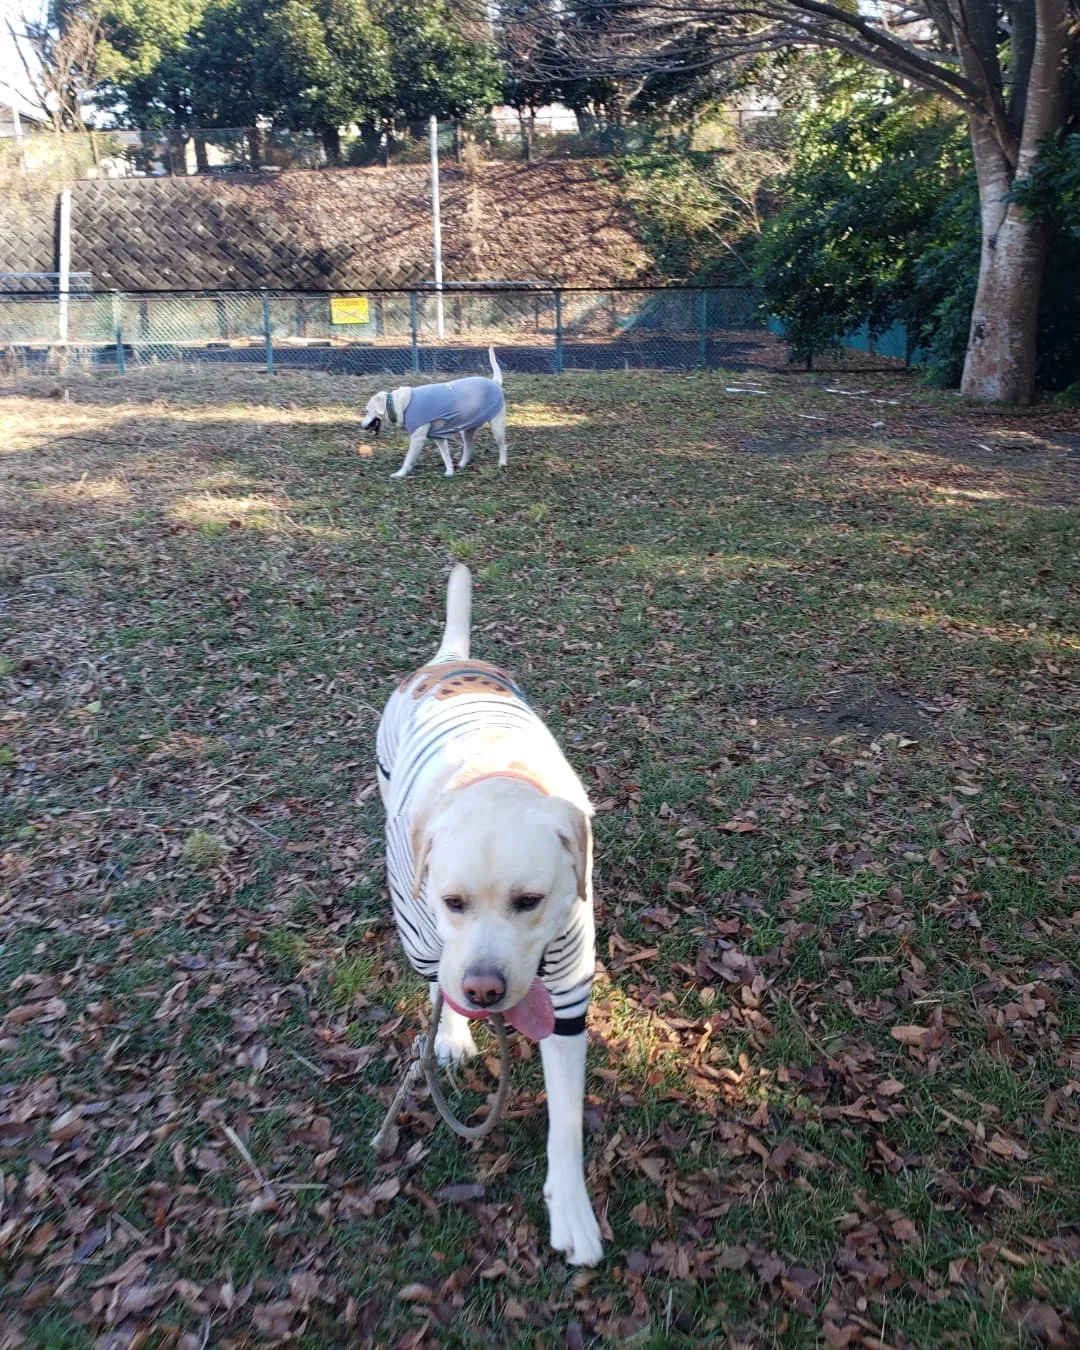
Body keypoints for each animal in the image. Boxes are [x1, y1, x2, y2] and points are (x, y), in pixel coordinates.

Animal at [375, 567, 602, 1263]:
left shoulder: (567, 993)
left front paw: (572, 1211)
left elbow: (566, 1123)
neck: (496, 777)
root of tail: (451, 659)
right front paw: (453, 1032)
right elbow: (438, 988)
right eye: (455, 902)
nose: (486, 990)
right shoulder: (430, 933)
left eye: (530, 901)